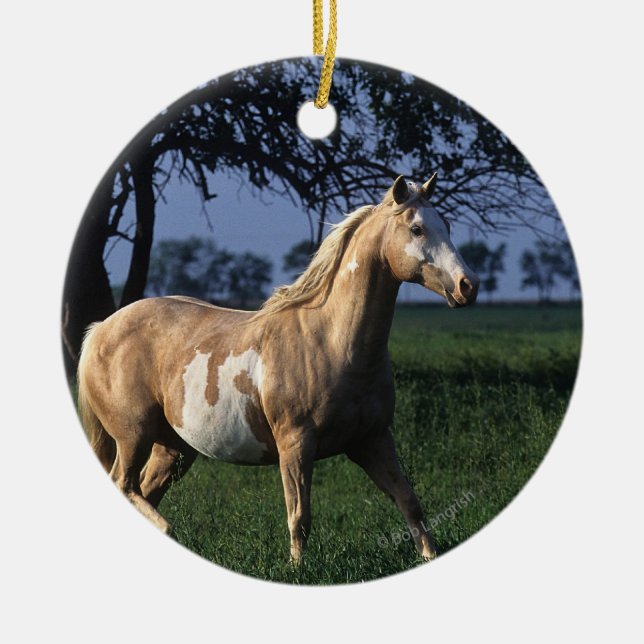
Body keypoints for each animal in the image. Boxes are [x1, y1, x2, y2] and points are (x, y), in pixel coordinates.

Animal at [77, 174, 479, 562]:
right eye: (417, 229)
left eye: (445, 224)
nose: (468, 286)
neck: (331, 342)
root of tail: (100, 331)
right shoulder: (296, 444)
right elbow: (300, 515)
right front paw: (298, 568)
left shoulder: (373, 440)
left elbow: (410, 503)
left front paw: (429, 556)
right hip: (133, 436)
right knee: (126, 485)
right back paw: (169, 529)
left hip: (172, 447)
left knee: (143, 490)